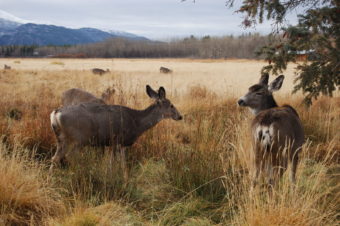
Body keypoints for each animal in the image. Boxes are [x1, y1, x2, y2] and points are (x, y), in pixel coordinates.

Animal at [49, 85, 182, 177]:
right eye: (171, 105)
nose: (180, 116)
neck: (137, 122)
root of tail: (55, 113)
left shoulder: (118, 144)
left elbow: (119, 164)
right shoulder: (118, 140)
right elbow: (115, 164)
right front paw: (115, 177)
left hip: (61, 139)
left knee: (55, 158)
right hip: (79, 139)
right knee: (68, 157)